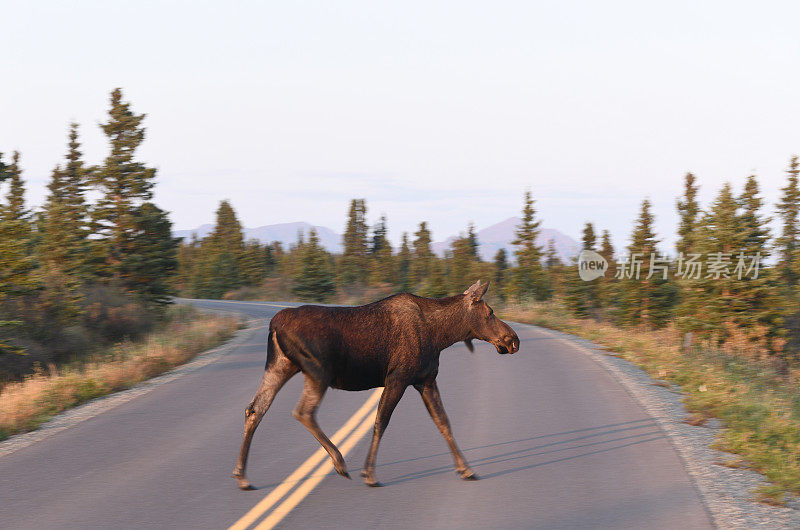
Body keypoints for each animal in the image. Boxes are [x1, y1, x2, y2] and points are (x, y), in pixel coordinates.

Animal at [231, 278, 520, 488]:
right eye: (490, 312)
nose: (513, 340)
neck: (442, 334)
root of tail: (274, 324)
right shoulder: (398, 378)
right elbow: (381, 421)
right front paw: (369, 473)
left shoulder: (425, 380)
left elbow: (443, 422)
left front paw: (466, 468)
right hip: (317, 371)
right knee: (303, 412)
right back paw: (339, 462)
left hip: (280, 365)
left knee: (255, 409)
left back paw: (242, 475)